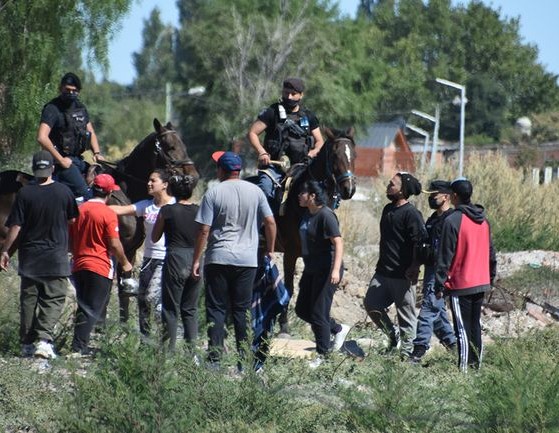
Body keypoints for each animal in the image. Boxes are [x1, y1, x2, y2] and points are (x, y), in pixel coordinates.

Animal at [276, 126, 358, 332]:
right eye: (335, 156)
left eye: (354, 155)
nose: (349, 189)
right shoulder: (290, 252)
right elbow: (289, 287)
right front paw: (284, 325)